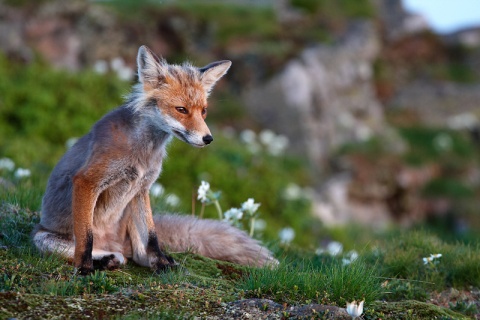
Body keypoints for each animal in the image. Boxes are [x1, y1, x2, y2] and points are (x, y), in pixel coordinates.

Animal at [31, 45, 276, 276]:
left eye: (203, 111)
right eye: (181, 109)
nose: (208, 139)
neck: (142, 152)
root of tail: (115, 244)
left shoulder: (142, 187)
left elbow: (152, 238)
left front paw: (162, 264)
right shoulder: (87, 180)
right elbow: (85, 237)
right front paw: (84, 268)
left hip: (130, 211)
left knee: (139, 254)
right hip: (41, 237)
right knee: (93, 251)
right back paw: (104, 259)